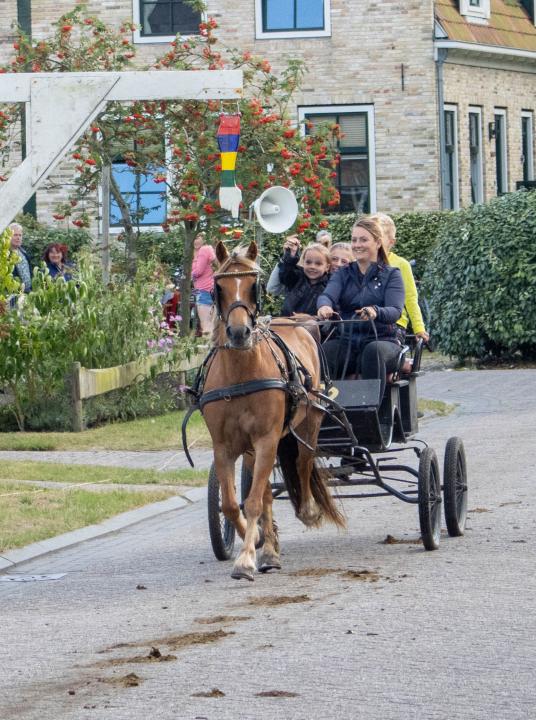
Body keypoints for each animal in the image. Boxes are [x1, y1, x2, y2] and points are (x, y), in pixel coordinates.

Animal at [199, 239, 346, 584]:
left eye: (254, 285)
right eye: (219, 287)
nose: (239, 333)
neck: (241, 374)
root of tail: (297, 322)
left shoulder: (266, 438)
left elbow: (252, 501)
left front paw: (245, 560)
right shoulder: (224, 446)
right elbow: (232, 503)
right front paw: (255, 541)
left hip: (308, 421)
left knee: (304, 463)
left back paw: (306, 510)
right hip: (256, 446)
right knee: (264, 490)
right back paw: (269, 550)